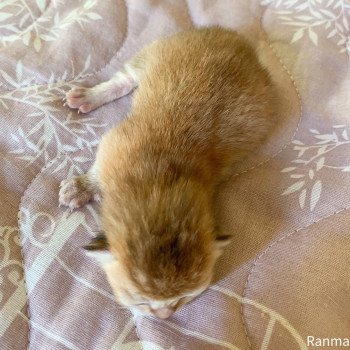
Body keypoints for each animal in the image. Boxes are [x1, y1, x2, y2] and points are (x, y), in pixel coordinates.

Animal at [59, 26, 276, 318]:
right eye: (140, 301)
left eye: (183, 298)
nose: (164, 317)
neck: (158, 179)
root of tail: (238, 41)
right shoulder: (112, 144)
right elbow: (96, 170)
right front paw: (81, 187)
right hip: (156, 51)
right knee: (126, 78)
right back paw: (89, 96)